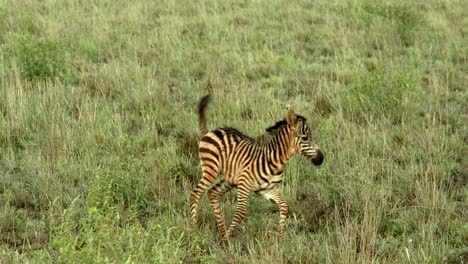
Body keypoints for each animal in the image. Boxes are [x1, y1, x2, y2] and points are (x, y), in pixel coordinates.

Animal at [188, 94, 324, 241]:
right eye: (305, 138)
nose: (321, 158)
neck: (274, 159)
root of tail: (211, 131)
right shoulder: (244, 185)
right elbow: (240, 213)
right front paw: (226, 241)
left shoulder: (265, 189)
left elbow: (284, 206)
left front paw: (280, 238)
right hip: (211, 169)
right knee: (196, 194)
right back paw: (194, 229)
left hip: (230, 178)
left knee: (213, 193)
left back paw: (222, 231)